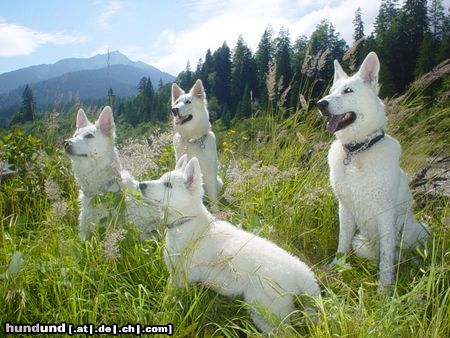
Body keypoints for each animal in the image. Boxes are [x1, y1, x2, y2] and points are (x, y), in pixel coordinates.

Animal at [139, 155, 318, 332]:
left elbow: (170, 297)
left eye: (168, 185)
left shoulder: (182, 276)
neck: (186, 221)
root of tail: (299, 269)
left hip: (262, 307)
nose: (141, 185)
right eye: (160, 179)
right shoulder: (175, 273)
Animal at [316, 51, 428, 290]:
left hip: (417, 230)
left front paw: (384, 289)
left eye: (348, 91)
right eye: (331, 91)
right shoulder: (345, 210)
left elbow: (386, 259)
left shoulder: (385, 214)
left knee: (403, 253)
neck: (358, 150)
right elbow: (342, 245)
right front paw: (335, 269)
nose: (320, 104)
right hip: (361, 241)